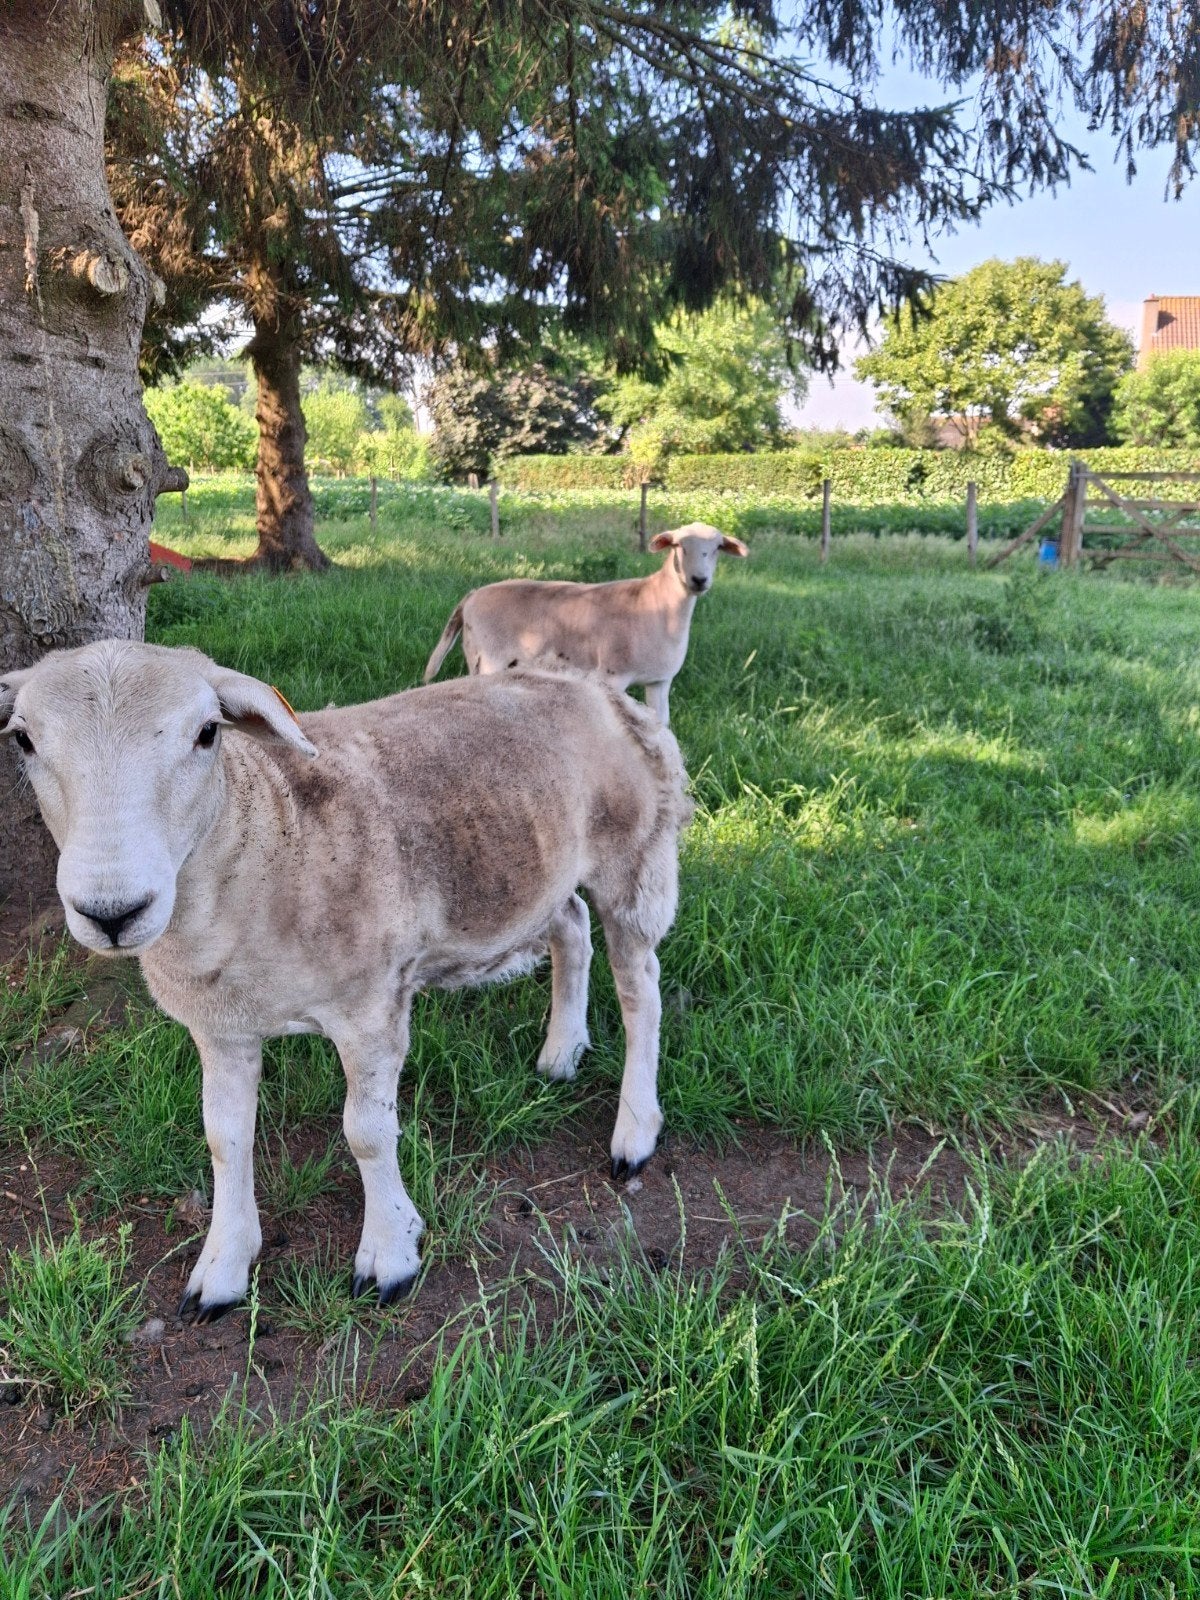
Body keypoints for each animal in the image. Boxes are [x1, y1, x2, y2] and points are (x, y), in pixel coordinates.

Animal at [1, 641, 691, 1322]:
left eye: (206, 733)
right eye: (24, 741)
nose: (111, 912)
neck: (266, 838)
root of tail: (588, 684)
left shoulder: (369, 1007)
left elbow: (366, 1133)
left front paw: (390, 1253)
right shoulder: (220, 1025)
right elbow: (224, 1138)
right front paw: (223, 1266)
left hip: (635, 852)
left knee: (641, 988)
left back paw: (635, 1129)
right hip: (541, 868)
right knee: (571, 925)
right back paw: (560, 1052)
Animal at [423, 521, 749, 725]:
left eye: (718, 547)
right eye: (679, 545)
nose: (698, 580)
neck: (656, 601)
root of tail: (472, 596)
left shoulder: (660, 681)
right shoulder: (612, 675)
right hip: (489, 658)